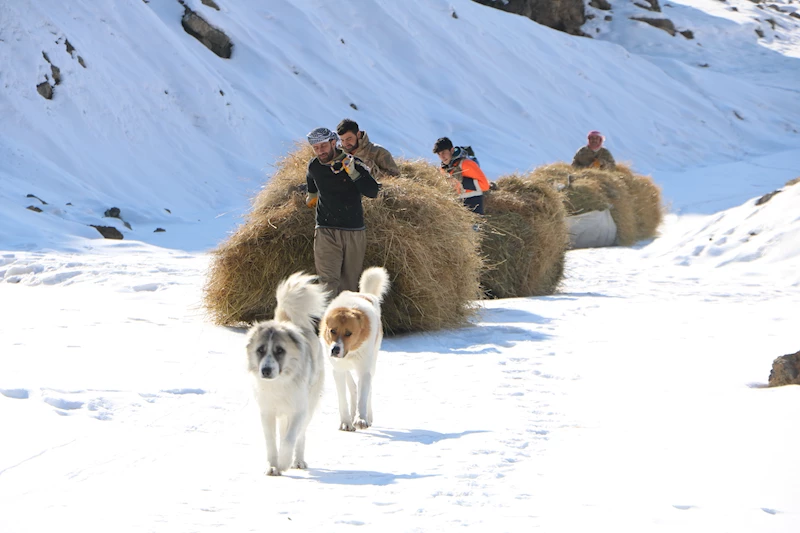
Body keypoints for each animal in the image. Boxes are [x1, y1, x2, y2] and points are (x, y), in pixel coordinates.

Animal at [247, 272, 328, 476]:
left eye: (279, 350)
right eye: (260, 350)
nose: (266, 370)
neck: (279, 383)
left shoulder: (299, 410)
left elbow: (289, 439)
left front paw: (283, 463)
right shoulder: (267, 412)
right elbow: (271, 442)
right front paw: (272, 466)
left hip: (309, 405)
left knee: (300, 436)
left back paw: (297, 461)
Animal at [322, 268, 390, 430]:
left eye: (348, 333)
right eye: (332, 331)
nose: (335, 349)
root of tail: (365, 294)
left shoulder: (364, 370)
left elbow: (363, 396)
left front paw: (361, 419)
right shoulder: (338, 370)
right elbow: (343, 398)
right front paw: (346, 422)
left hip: (372, 362)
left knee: (367, 389)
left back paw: (367, 417)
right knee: (352, 387)